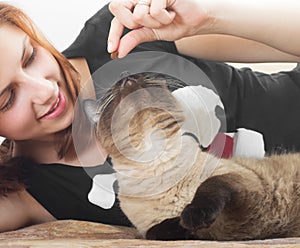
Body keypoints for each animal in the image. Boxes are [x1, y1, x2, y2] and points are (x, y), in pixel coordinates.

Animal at [84, 72, 300, 241]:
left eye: (140, 78)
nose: (127, 78)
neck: (155, 156)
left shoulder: (241, 181)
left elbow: (209, 187)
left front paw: (191, 216)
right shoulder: (149, 229)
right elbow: (159, 231)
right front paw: (185, 223)